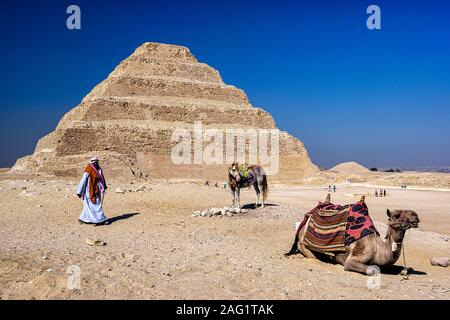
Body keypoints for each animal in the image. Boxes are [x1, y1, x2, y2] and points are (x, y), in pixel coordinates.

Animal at [286, 194, 420, 276]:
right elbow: (372, 270)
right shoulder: (352, 260)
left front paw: (404, 271)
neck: (378, 248)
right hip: (303, 243)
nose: (415, 215)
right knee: (310, 254)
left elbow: (402, 269)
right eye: (397, 215)